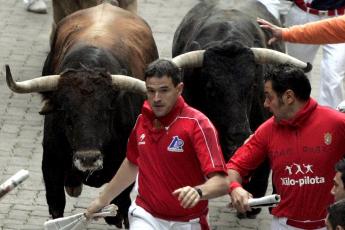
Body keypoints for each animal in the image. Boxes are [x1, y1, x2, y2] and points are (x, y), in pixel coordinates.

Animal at [4, 3, 157, 228]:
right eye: (66, 114)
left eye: (107, 111)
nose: (88, 158)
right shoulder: (51, 167)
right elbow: (56, 207)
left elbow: (120, 208)